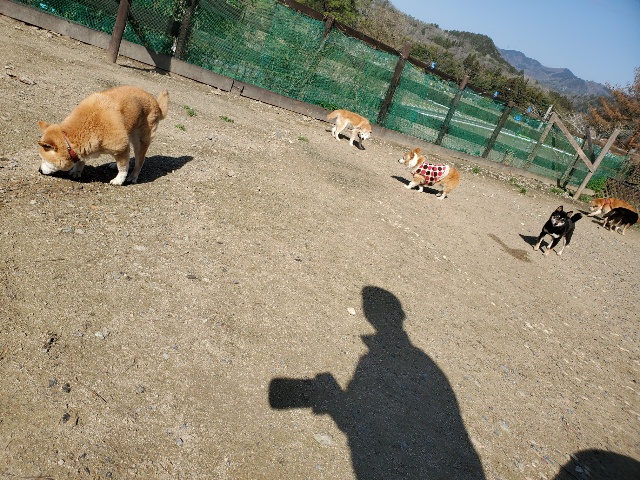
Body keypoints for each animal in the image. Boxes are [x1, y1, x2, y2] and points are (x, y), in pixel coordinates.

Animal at [38, 86, 169, 185]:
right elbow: (81, 161)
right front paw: (77, 171)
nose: (39, 170)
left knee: (139, 162)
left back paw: (133, 176)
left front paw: (119, 180)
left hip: (140, 141)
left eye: (44, 159)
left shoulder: (121, 146)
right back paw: (114, 164)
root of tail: (156, 103)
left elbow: (123, 167)